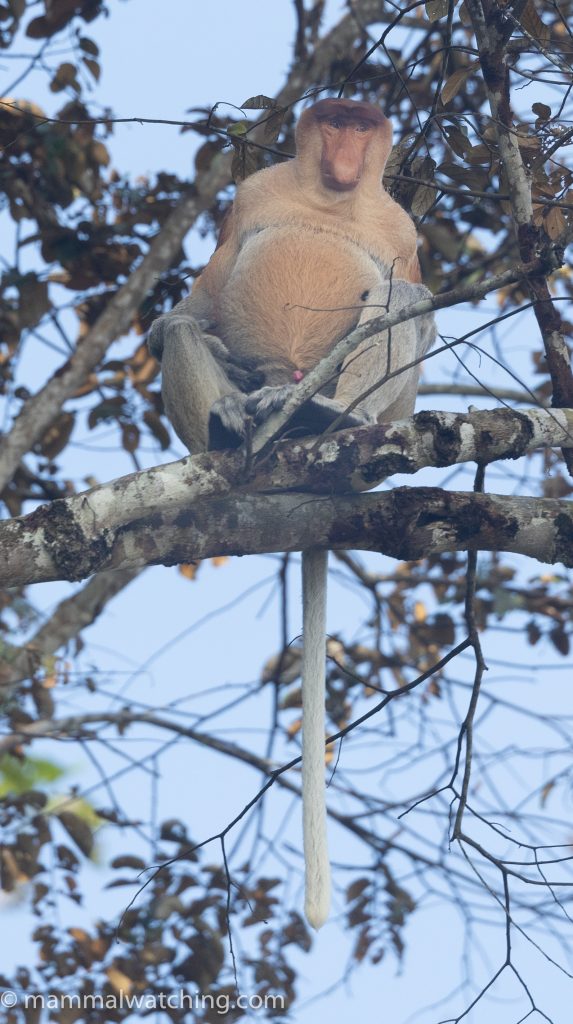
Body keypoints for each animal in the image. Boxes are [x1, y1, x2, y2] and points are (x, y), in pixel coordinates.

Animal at [148, 98, 435, 930]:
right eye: (333, 121)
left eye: (361, 125)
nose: (343, 150)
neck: (330, 198)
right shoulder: (252, 196)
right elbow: (201, 297)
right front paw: (195, 345)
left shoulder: (402, 228)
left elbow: (418, 297)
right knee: (187, 331)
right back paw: (236, 423)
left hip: (382, 406)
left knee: (402, 305)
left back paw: (330, 421)